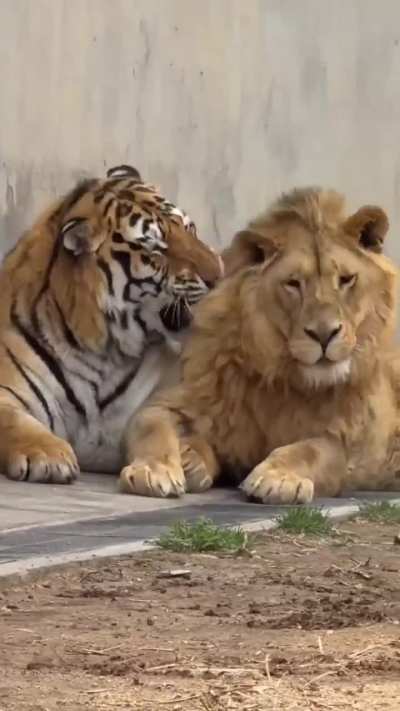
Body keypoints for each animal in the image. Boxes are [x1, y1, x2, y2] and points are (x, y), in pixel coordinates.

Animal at [0, 164, 223, 483]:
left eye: (190, 229)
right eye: (156, 251)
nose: (219, 273)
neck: (103, 352)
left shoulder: (156, 404)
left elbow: (156, 428)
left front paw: (157, 470)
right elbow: (15, 420)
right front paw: (48, 454)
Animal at [119, 186, 400, 503]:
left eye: (346, 279)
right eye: (293, 283)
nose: (324, 334)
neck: (285, 376)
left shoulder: (349, 441)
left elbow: (311, 450)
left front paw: (277, 479)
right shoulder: (177, 401)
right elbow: (151, 425)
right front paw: (156, 469)